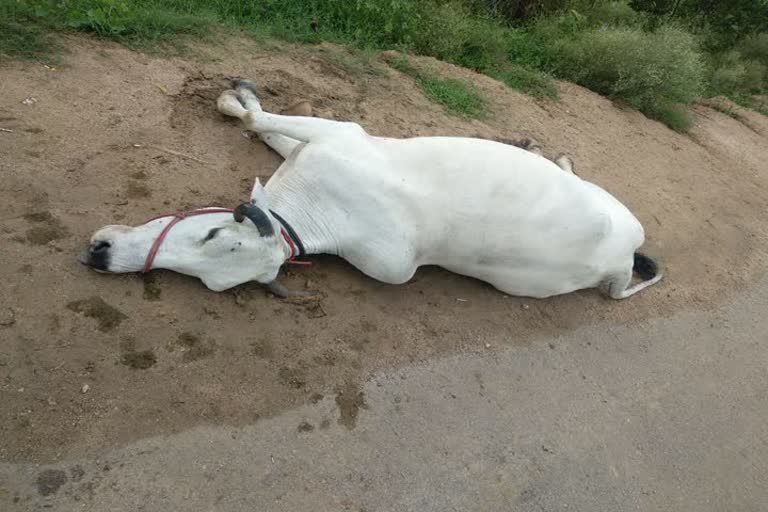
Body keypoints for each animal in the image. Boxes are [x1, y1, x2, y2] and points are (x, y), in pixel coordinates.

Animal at [81, 78, 664, 298]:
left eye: (214, 237)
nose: (100, 253)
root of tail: (621, 260)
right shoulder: (317, 145)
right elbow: (268, 131)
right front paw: (240, 101)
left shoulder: (340, 133)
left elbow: (256, 120)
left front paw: (234, 100)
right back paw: (550, 154)